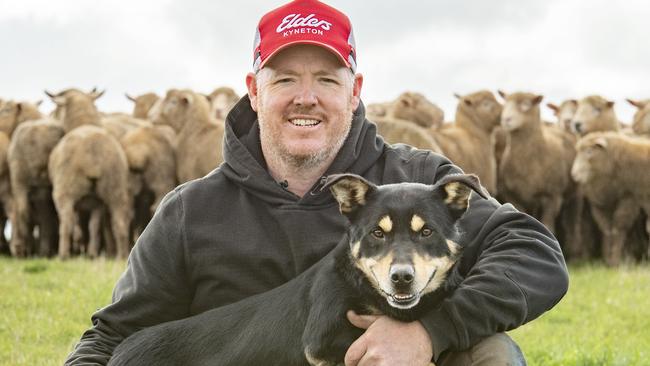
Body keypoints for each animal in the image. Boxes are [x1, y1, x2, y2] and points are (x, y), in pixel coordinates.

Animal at [48, 126, 131, 260]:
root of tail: (92, 158)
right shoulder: (97, 204)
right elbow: (94, 225)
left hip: (66, 188)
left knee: (67, 221)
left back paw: (63, 255)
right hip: (114, 187)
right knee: (118, 223)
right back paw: (119, 255)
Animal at [494, 91, 576, 234]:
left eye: (526, 104)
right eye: (505, 102)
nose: (506, 119)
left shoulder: (552, 197)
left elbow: (548, 225)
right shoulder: (513, 196)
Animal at [568, 133, 644, 264]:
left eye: (589, 151)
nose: (574, 174)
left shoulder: (629, 197)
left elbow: (618, 228)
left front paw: (615, 260)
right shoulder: (601, 204)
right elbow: (607, 229)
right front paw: (608, 258)